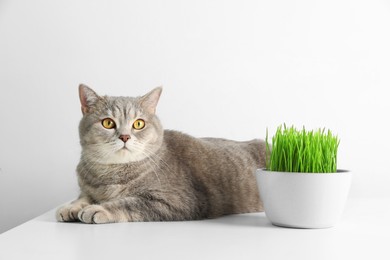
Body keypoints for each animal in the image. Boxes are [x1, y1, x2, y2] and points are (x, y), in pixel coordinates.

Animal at [55, 85, 266, 223]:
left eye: (138, 123)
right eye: (108, 123)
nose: (124, 136)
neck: (111, 172)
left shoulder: (176, 201)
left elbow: (127, 203)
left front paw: (98, 208)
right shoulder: (87, 188)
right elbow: (83, 197)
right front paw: (71, 207)